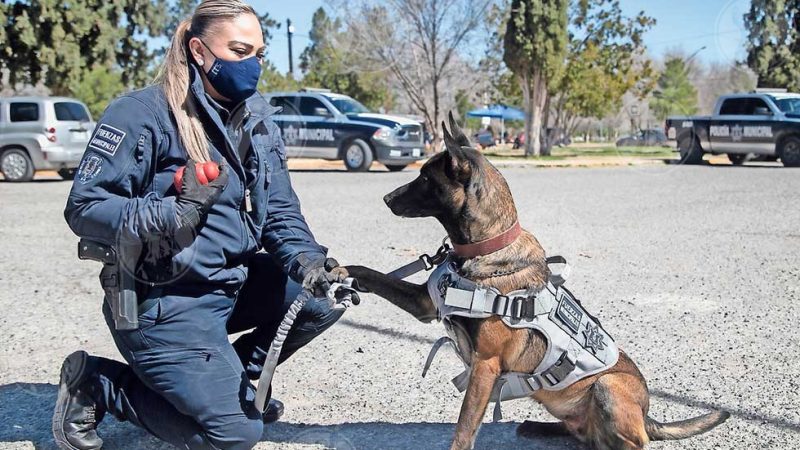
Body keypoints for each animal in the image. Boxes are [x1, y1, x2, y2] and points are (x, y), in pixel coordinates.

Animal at [346, 110, 732, 448]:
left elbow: (465, 429)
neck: (486, 248)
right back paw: (537, 427)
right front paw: (340, 271)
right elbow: (371, 273)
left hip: (607, 386)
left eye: (426, 179)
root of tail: (647, 414)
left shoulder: (484, 366)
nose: (386, 198)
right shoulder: (424, 304)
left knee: (633, 441)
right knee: (587, 436)